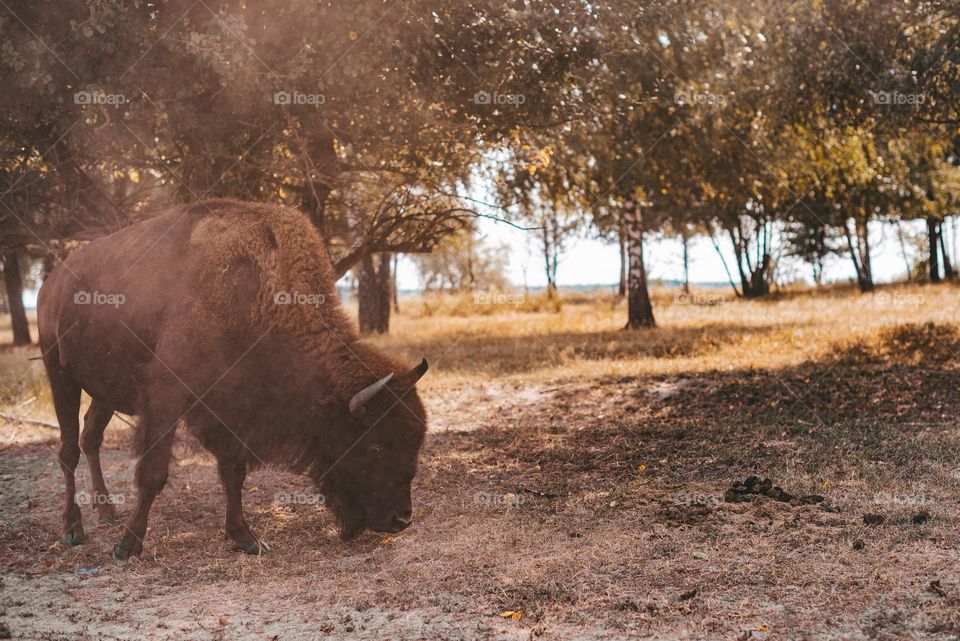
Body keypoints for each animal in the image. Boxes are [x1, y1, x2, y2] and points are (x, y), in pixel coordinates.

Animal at [37, 199, 428, 559]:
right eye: (375, 446)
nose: (401, 520)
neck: (257, 297)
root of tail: (51, 283)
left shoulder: (233, 409)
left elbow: (233, 472)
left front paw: (246, 538)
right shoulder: (166, 399)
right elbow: (154, 473)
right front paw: (128, 546)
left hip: (103, 390)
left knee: (90, 436)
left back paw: (106, 510)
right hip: (60, 374)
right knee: (69, 450)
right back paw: (73, 529)